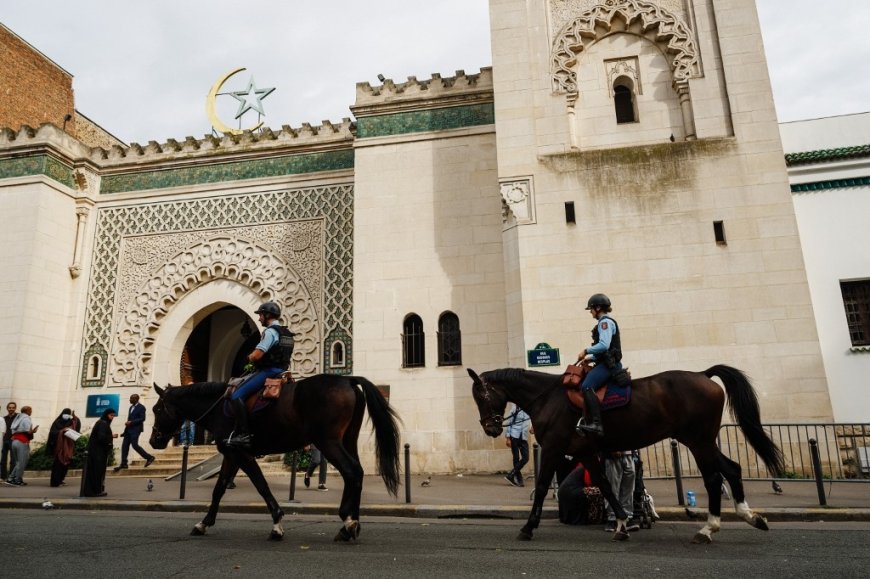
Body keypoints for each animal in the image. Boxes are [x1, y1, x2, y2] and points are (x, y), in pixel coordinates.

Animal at [152, 376, 404, 544]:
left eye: (156, 409)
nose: (154, 440)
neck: (217, 408)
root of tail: (349, 380)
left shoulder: (241, 454)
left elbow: (261, 485)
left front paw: (277, 524)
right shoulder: (231, 455)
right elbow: (219, 489)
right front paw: (203, 523)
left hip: (328, 441)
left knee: (351, 471)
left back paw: (347, 522)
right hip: (348, 438)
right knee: (358, 472)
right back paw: (352, 523)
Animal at [474, 368, 788, 544]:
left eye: (481, 395)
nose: (491, 428)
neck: (549, 398)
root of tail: (703, 375)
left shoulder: (553, 448)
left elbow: (540, 488)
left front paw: (528, 527)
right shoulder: (585, 452)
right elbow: (604, 485)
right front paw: (623, 524)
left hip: (698, 441)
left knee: (714, 478)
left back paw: (709, 528)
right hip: (703, 441)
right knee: (732, 469)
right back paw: (749, 517)